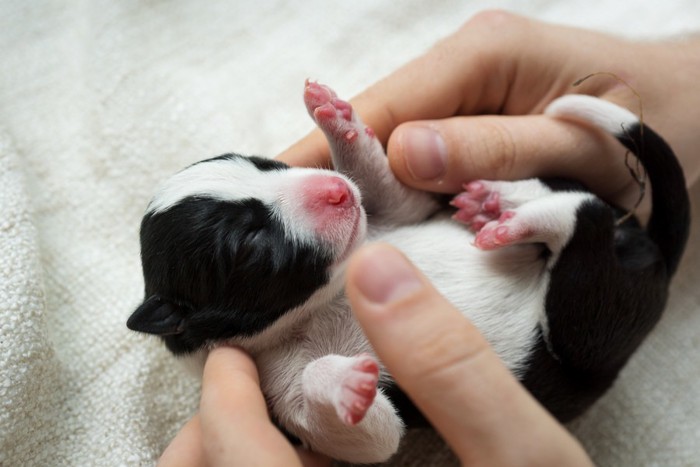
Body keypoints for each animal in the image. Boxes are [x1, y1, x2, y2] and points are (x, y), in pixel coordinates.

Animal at [129, 81, 692, 464]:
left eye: (264, 163)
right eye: (248, 244)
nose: (338, 190)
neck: (327, 299)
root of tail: (651, 251)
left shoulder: (391, 215)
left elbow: (391, 191)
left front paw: (336, 117)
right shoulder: (283, 395)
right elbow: (369, 434)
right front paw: (346, 385)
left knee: (577, 203)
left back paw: (502, 202)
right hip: (594, 330)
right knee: (585, 230)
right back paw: (519, 215)